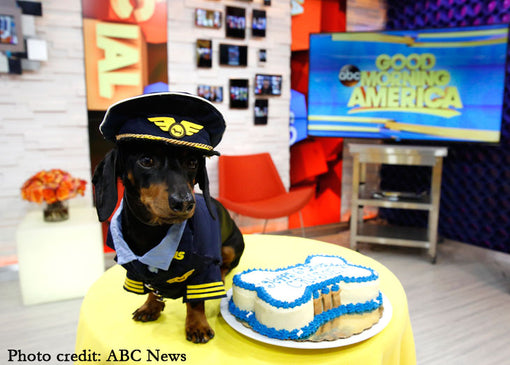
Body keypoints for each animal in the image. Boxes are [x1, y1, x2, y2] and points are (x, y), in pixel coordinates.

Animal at [92, 92, 245, 342]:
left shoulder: (204, 268)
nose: (185, 203)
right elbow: (151, 288)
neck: (152, 233)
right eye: (146, 160)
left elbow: (196, 301)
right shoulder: (134, 272)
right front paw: (151, 306)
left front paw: (197, 325)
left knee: (225, 266)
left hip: (232, 247)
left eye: (192, 162)